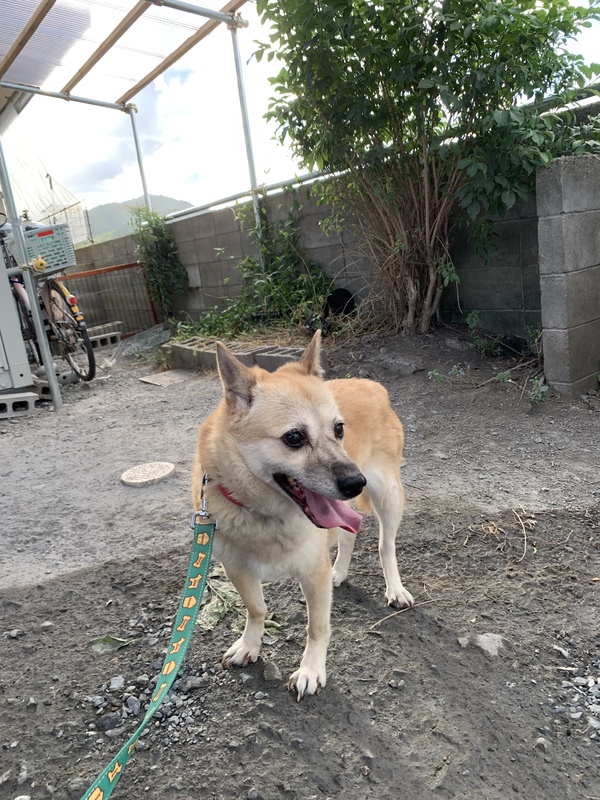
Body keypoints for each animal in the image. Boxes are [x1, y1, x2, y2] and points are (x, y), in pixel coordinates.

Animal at [192, 331, 413, 699]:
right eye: (294, 437)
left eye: (339, 429)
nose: (356, 482)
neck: (264, 514)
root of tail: (370, 383)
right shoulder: (237, 568)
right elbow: (256, 609)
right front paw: (249, 645)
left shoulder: (312, 573)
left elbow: (317, 626)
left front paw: (311, 670)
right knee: (349, 533)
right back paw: (339, 572)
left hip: (389, 496)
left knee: (386, 545)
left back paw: (394, 588)